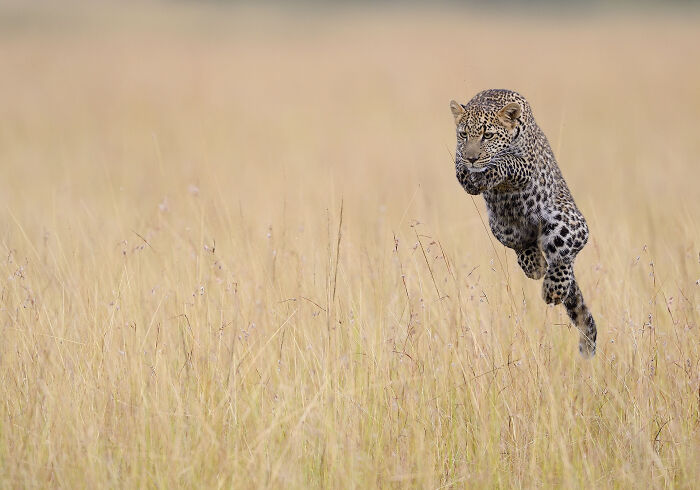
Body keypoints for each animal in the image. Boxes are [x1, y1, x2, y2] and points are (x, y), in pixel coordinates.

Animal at [450, 88, 597, 357]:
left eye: (488, 135)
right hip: (504, 227)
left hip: (566, 222)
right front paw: (471, 174)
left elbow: (507, 161)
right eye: (463, 134)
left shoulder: (525, 164)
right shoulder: (458, 159)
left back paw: (553, 288)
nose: (472, 158)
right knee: (528, 250)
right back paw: (535, 264)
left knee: (565, 254)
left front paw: (489, 169)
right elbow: (462, 171)